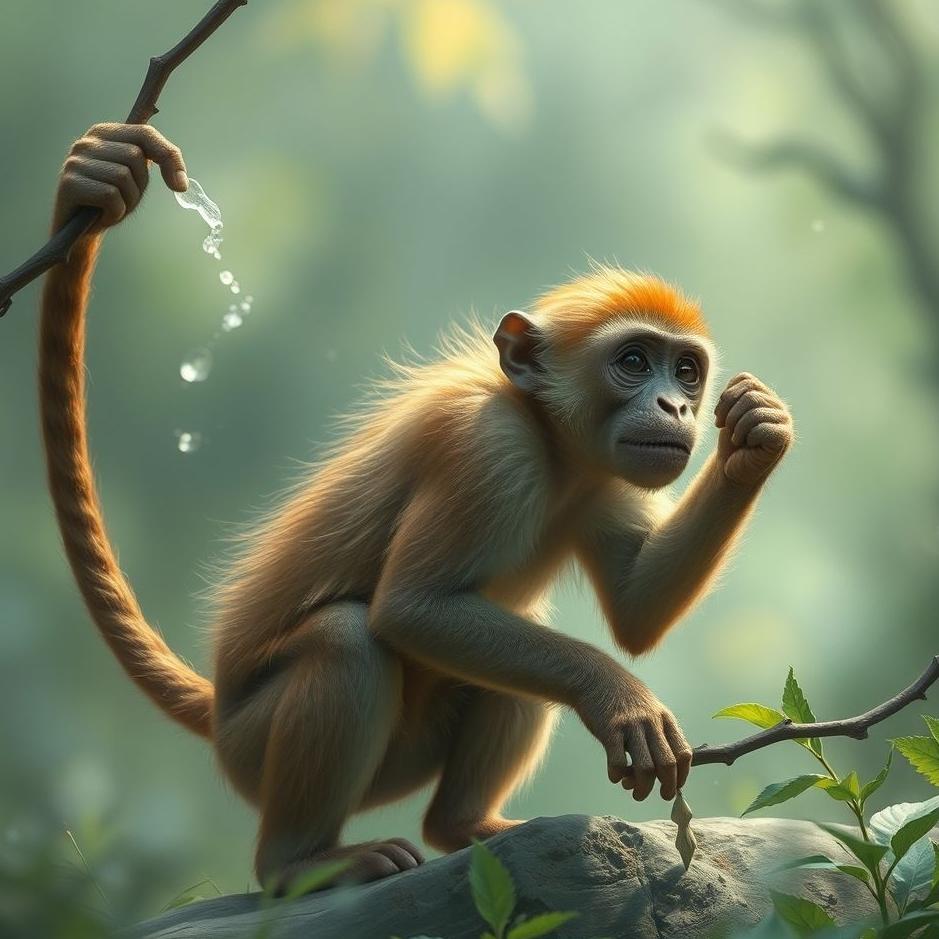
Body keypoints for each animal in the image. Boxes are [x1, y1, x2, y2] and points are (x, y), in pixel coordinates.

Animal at [40, 122, 793, 892]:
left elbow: (637, 613)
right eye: (635, 361)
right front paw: (619, 696)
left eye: (687, 371)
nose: (676, 407)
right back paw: (300, 861)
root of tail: (216, 707)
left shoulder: (606, 478)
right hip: (255, 747)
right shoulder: (485, 449)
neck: (550, 443)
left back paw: (463, 826)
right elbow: (410, 609)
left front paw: (754, 435)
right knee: (346, 639)